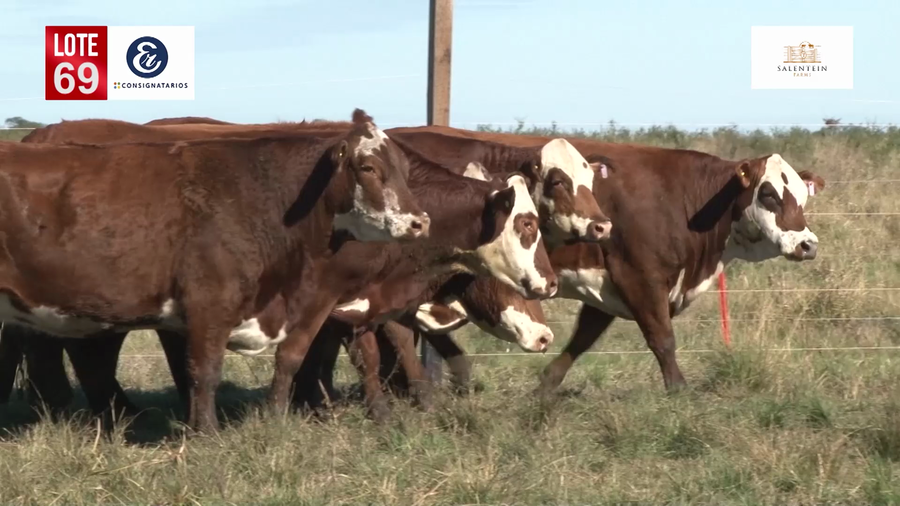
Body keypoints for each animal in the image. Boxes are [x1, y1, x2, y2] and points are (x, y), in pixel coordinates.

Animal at [0, 110, 431, 432]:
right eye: (368, 167)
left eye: (405, 168)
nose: (419, 222)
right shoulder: (210, 304)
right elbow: (203, 372)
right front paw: (206, 434)